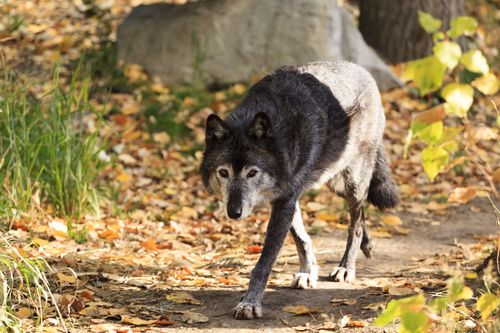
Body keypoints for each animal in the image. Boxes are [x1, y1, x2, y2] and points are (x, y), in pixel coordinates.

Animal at [199, 60, 398, 320]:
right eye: (223, 173)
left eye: (252, 173)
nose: (234, 212)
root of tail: (361, 69)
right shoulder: (287, 196)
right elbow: (301, 237)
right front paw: (308, 272)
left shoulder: (285, 199)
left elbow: (265, 261)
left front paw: (250, 302)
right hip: (334, 182)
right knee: (361, 214)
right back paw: (368, 244)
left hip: (353, 183)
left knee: (354, 223)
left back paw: (346, 267)